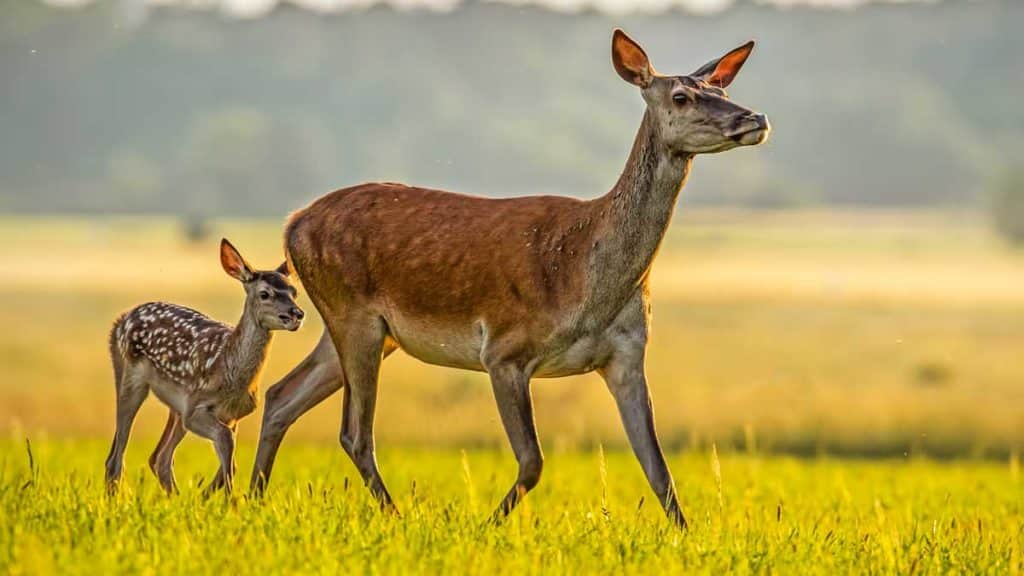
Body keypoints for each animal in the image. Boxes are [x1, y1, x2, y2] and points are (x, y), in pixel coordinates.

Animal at [105, 237, 303, 494]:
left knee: (159, 458)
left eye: (294, 291)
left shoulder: (232, 416)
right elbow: (227, 444)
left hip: (175, 406)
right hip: (134, 379)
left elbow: (230, 459)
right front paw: (228, 500)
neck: (230, 374)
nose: (296, 314)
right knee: (117, 458)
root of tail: (121, 320)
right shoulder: (196, 407)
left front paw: (208, 496)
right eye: (264, 294)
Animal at [251, 29, 770, 528]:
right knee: (354, 433)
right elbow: (533, 461)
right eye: (681, 96)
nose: (755, 118)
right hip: (353, 314)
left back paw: (248, 499)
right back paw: (394, 517)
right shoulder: (504, 350)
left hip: (366, 330)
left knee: (280, 397)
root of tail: (292, 225)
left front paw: (687, 537)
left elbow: (658, 469)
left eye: (722, 89)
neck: (587, 280)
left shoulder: (626, 355)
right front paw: (486, 527)